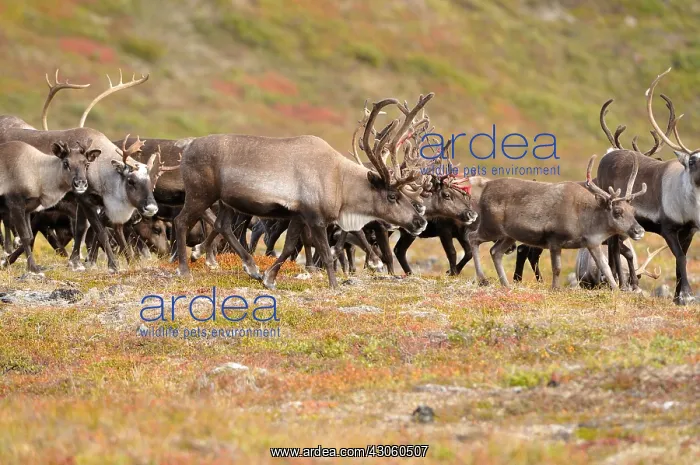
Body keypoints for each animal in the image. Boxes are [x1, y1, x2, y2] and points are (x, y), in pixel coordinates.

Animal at [0, 140, 100, 273]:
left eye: (86, 164)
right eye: (65, 163)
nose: (80, 184)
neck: (39, 176)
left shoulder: (28, 209)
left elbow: (30, 236)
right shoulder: (15, 204)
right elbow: (25, 237)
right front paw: (33, 268)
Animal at [173, 94, 434, 288]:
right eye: (393, 196)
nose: (420, 222)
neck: (340, 183)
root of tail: (187, 148)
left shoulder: (298, 215)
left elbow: (289, 247)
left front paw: (269, 278)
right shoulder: (315, 217)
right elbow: (326, 253)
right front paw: (334, 286)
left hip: (228, 200)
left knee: (223, 225)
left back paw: (251, 268)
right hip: (200, 193)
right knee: (182, 221)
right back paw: (185, 270)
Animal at [468, 155, 647, 289]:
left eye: (633, 211)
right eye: (617, 212)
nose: (639, 231)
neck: (586, 220)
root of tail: (486, 186)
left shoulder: (593, 243)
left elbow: (606, 268)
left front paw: (616, 290)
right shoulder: (555, 239)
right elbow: (557, 268)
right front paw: (555, 288)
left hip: (509, 235)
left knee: (495, 251)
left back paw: (505, 284)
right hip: (490, 227)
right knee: (473, 238)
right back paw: (483, 279)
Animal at [597, 68, 700, 305]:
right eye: (692, 160)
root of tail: (608, 155)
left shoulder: (689, 231)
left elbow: (681, 261)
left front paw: (678, 297)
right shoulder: (668, 228)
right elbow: (680, 257)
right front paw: (687, 296)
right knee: (614, 247)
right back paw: (622, 285)